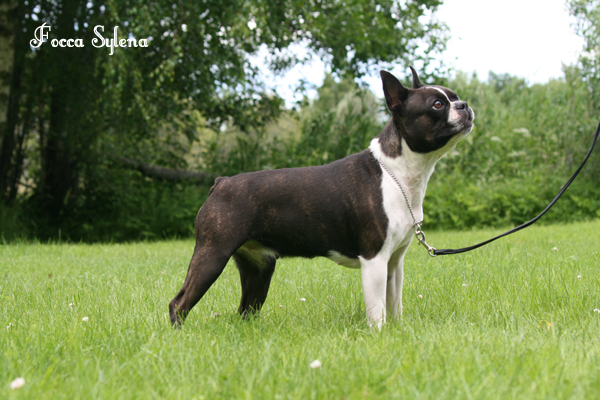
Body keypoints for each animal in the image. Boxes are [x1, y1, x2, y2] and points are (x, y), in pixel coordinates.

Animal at [169, 67, 474, 329]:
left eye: (455, 96)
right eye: (437, 105)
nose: (464, 105)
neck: (398, 173)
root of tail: (221, 182)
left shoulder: (394, 262)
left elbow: (394, 303)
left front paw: (398, 331)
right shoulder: (374, 259)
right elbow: (377, 310)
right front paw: (379, 335)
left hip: (258, 267)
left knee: (246, 308)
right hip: (213, 253)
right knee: (179, 303)